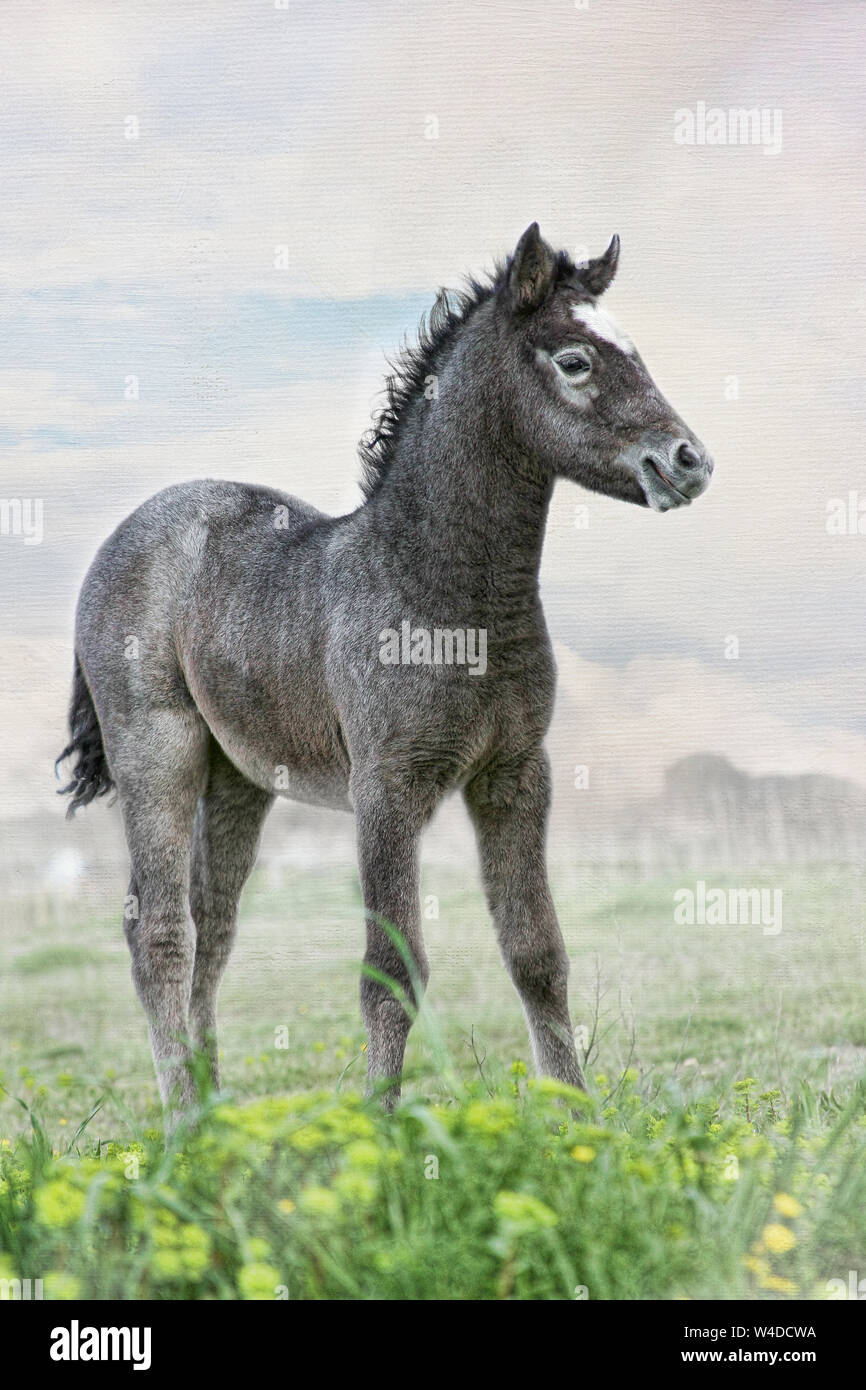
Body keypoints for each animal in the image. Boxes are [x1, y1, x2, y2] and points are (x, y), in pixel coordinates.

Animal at [57, 222, 717, 1123]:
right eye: (575, 360)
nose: (688, 461)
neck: (445, 593)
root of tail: (124, 536)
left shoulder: (517, 775)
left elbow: (537, 952)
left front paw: (576, 1121)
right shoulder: (386, 787)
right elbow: (391, 969)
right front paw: (382, 1124)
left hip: (238, 780)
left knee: (213, 924)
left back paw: (219, 1116)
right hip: (156, 749)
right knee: (159, 931)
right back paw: (185, 1124)